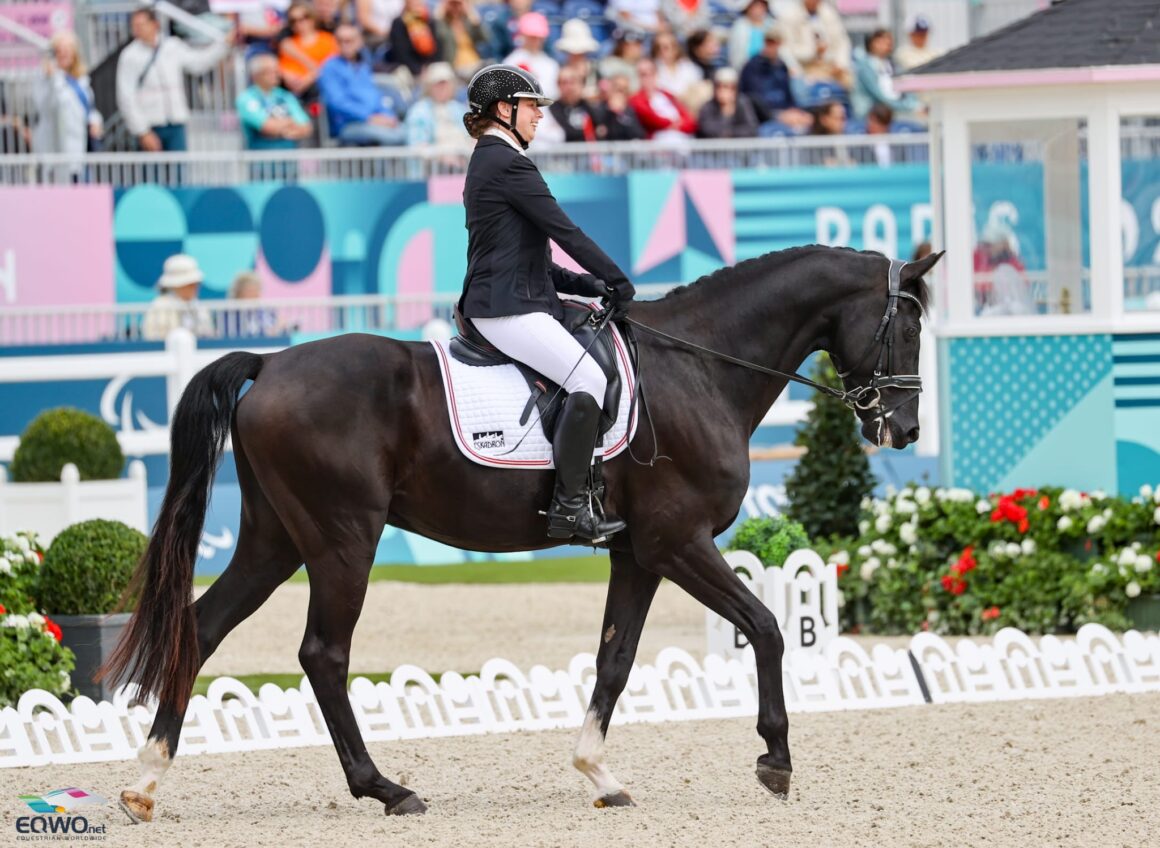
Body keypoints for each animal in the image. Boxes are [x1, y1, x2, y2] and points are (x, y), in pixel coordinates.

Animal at [97, 245, 932, 821]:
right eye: (908, 330)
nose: (905, 429)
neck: (699, 368)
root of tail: (268, 365)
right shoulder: (679, 541)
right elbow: (765, 627)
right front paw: (776, 758)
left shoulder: (637, 552)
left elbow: (616, 658)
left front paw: (600, 775)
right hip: (341, 541)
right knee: (323, 655)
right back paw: (385, 789)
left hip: (275, 541)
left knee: (202, 628)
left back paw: (144, 784)